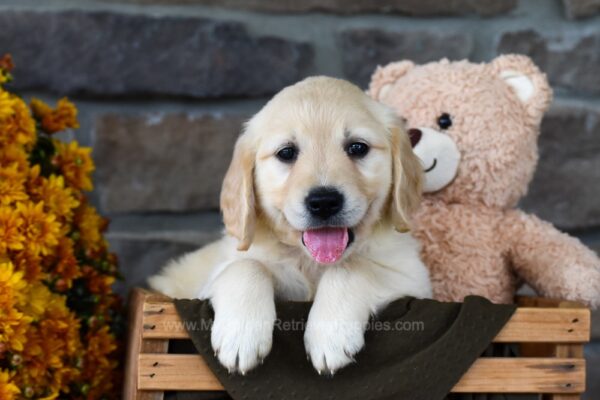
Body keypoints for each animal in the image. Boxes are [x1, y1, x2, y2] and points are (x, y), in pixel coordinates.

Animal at [150, 76, 432, 376]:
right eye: (286, 153)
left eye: (358, 148)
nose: (324, 202)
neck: (310, 262)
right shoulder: (215, 275)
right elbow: (247, 265)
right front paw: (241, 336)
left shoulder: (414, 278)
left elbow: (352, 266)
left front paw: (330, 335)